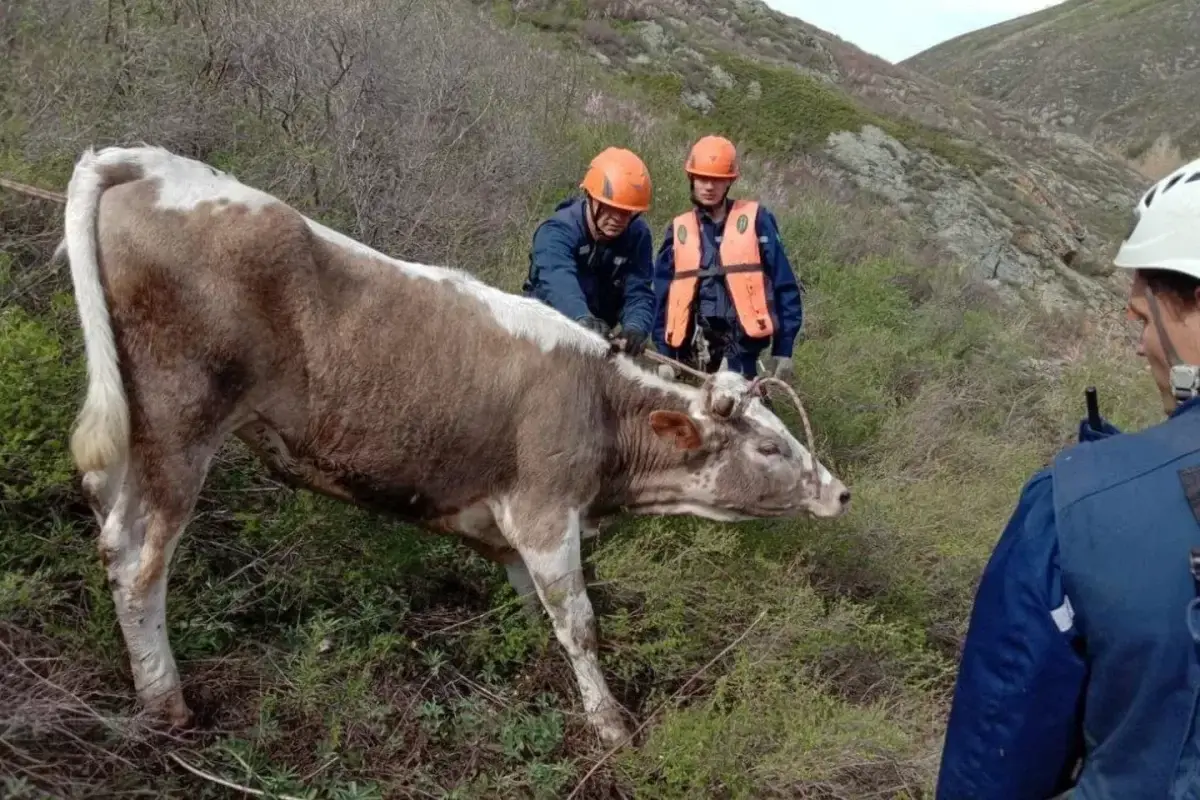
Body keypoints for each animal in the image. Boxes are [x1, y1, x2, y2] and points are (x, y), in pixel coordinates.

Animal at [54, 142, 844, 743]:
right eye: (770, 449)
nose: (837, 491)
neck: (600, 398)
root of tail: (146, 161)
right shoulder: (545, 509)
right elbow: (581, 623)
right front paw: (611, 723)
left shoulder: (507, 530)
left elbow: (541, 615)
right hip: (181, 420)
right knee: (138, 559)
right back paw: (166, 701)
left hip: (134, 425)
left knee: (105, 516)